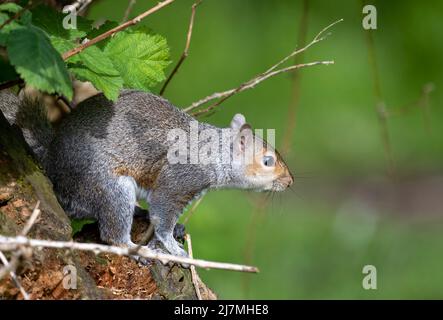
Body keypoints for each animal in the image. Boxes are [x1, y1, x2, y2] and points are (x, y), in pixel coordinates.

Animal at [0, 89, 294, 258]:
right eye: (268, 161)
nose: (290, 182)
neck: (213, 153)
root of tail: (52, 164)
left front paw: (176, 230)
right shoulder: (177, 181)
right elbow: (162, 216)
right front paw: (174, 249)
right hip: (110, 187)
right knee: (112, 235)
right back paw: (136, 249)